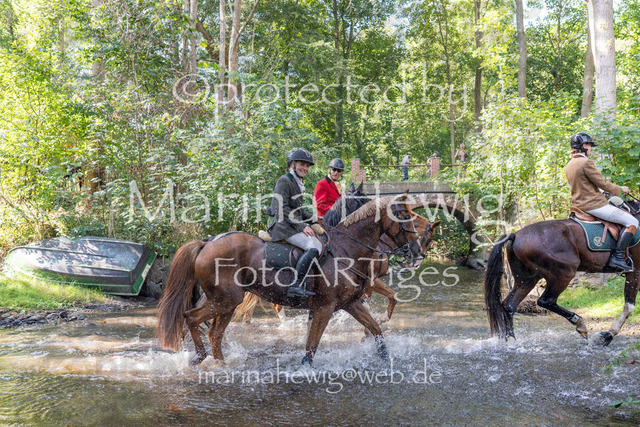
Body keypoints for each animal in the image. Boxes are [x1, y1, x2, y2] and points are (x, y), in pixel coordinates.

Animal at [157, 194, 433, 365]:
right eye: (406, 216)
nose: (416, 252)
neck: (347, 248)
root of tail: (206, 243)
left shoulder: (350, 302)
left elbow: (376, 330)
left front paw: (386, 359)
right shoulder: (325, 307)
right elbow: (311, 346)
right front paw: (305, 369)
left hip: (226, 303)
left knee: (215, 333)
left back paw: (221, 364)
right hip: (224, 301)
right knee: (191, 318)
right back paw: (199, 357)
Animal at [484, 202, 640, 346]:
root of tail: (515, 234)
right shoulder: (635, 272)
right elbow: (629, 307)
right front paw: (608, 335)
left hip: (527, 279)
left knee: (509, 305)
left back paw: (511, 341)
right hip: (564, 274)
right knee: (545, 301)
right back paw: (580, 323)